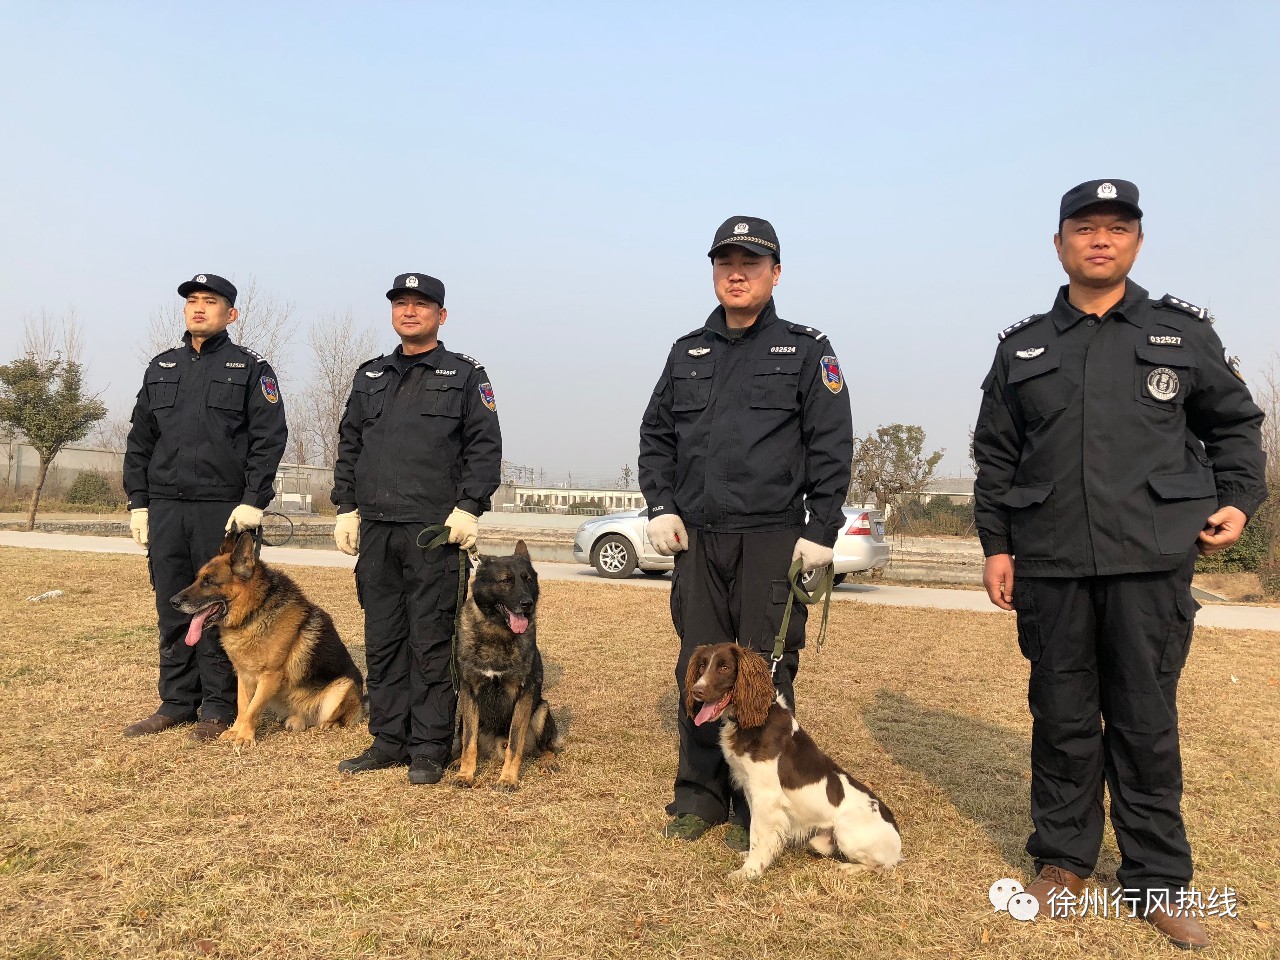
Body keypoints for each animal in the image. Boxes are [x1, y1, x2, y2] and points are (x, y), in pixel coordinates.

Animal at [171, 529, 366, 747]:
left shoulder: (269, 676)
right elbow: (243, 705)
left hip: (341, 687)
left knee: (338, 717)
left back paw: (329, 723)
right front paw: (236, 730)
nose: (173, 602)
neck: (254, 611)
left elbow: (253, 709)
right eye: (198, 579)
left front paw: (244, 736)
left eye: (208, 581)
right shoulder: (244, 675)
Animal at [458, 542, 563, 788]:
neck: (498, 633)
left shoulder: (524, 694)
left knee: (544, 748)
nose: (527, 604)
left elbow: (515, 744)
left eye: (528, 580)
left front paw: (508, 779)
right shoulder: (469, 692)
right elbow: (469, 743)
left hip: (542, 710)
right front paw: (465, 774)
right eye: (506, 581)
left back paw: (548, 761)